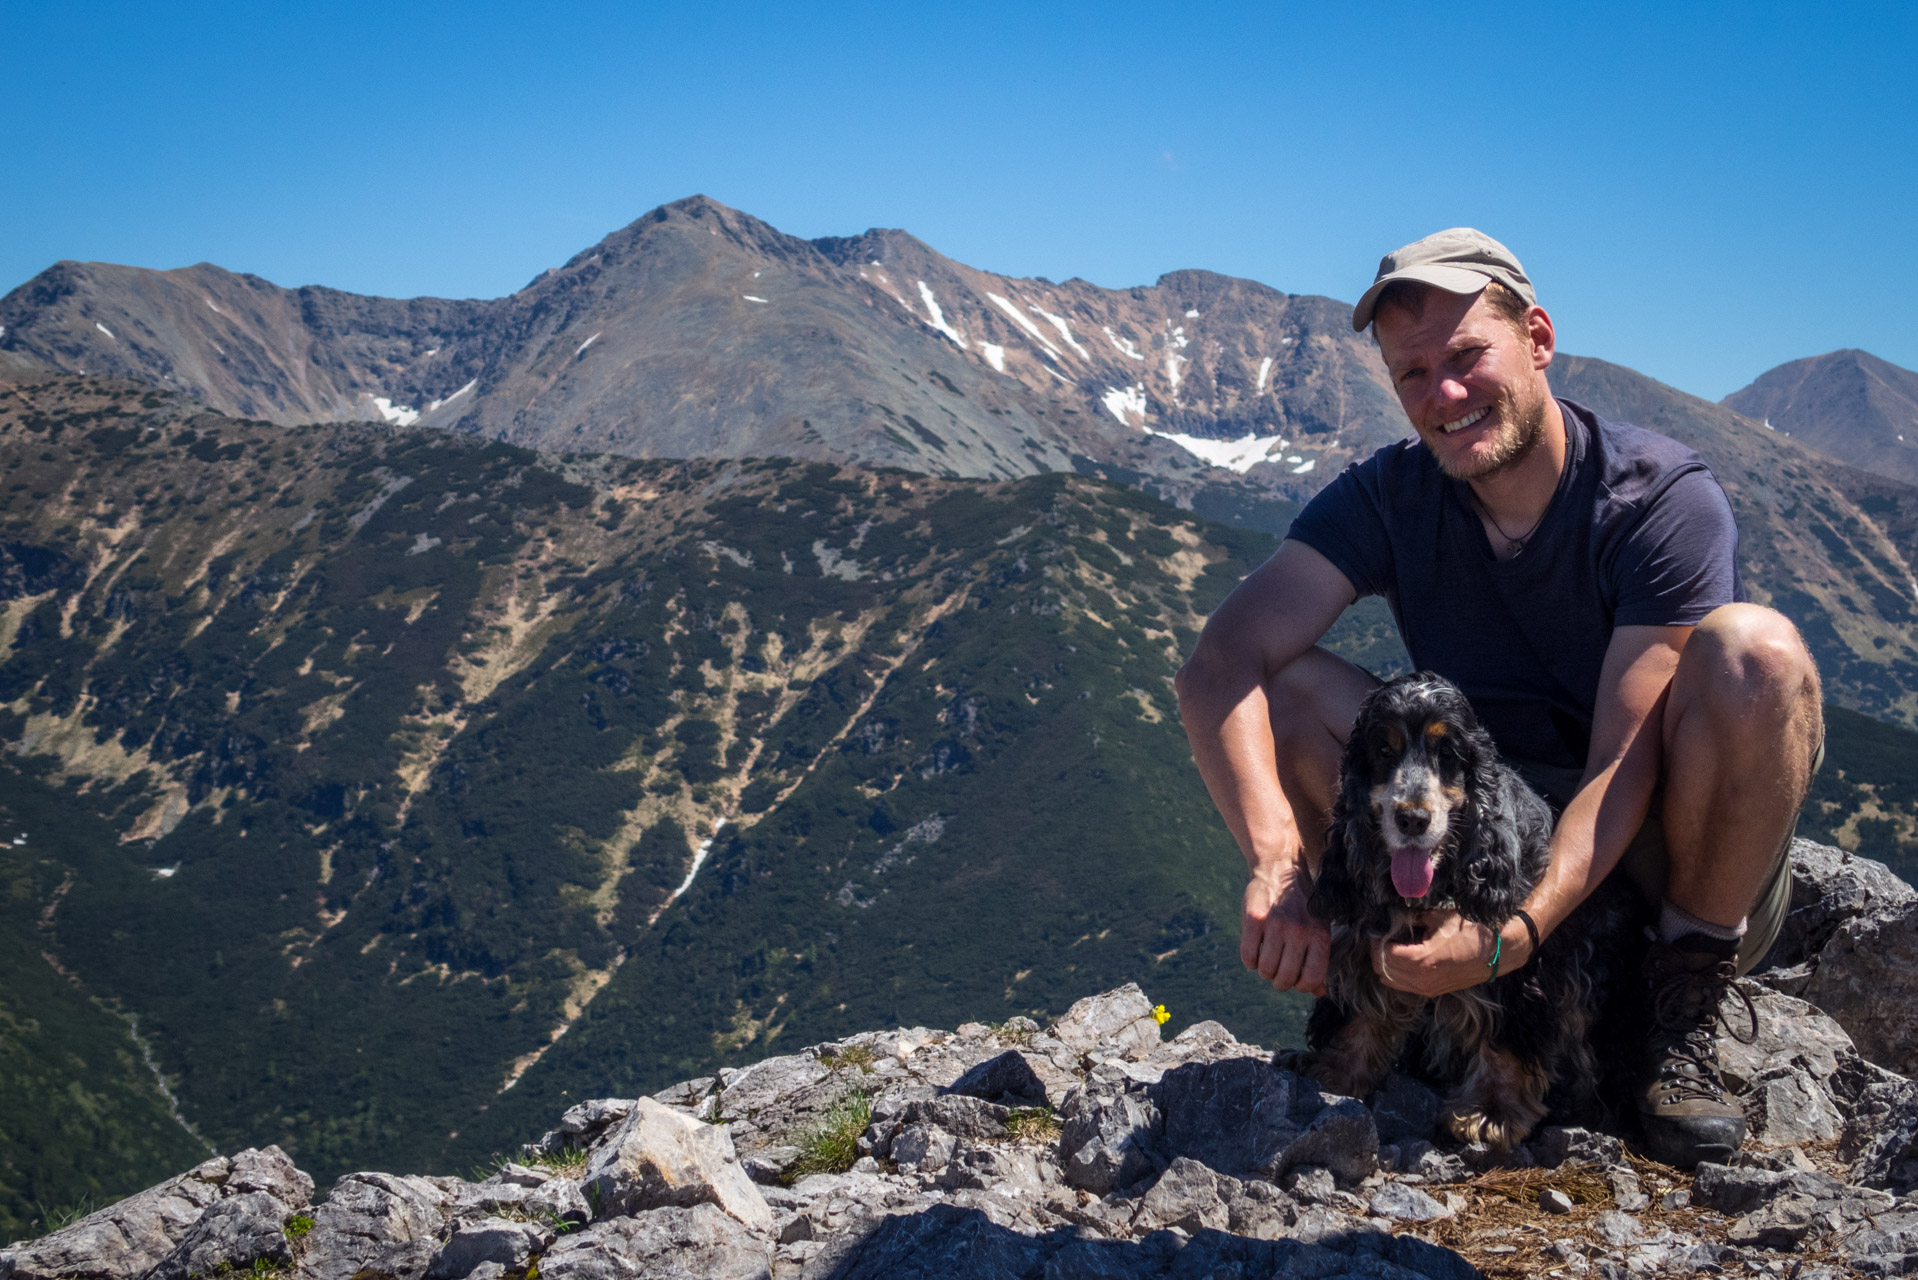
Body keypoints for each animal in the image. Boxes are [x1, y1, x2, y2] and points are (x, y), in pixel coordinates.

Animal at [1296, 671, 1626, 1151]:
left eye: (1447, 753)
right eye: (1383, 751)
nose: (1412, 819)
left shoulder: (1523, 966)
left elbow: (1505, 1039)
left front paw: (1491, 1111)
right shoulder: (1366, 942)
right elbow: (1359, 1013)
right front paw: (1335, 1075)